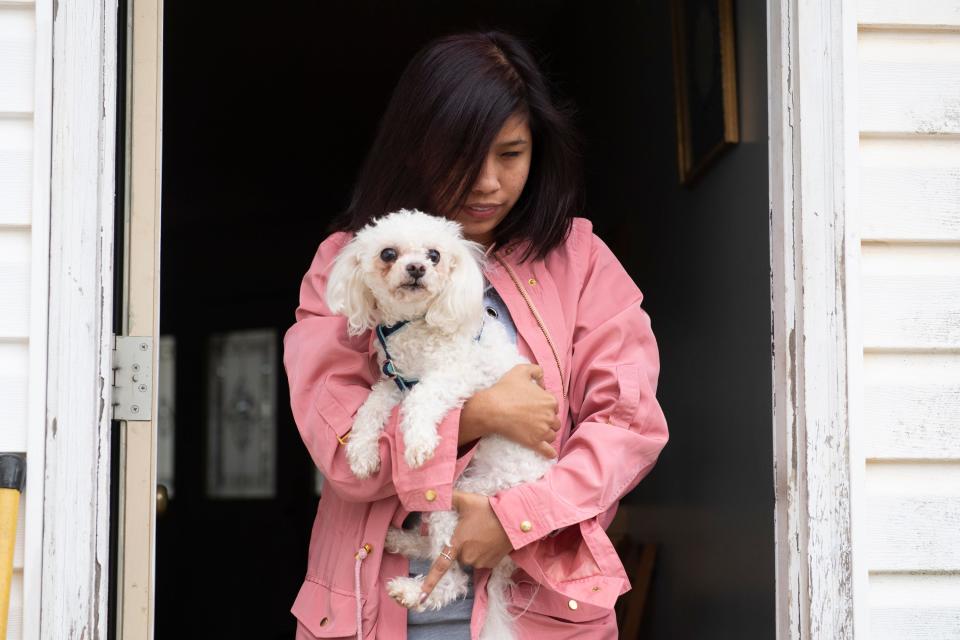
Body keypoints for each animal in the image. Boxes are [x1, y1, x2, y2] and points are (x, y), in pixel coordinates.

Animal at [328, 210, 556, 640]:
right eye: (388, 253)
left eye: (434, 255)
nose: (417, 268)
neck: (416, 325)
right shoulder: (395, 382)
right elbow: (371, 407)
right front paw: (362, 453)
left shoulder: (455, 374)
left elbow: (423, 398)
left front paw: (418, 442)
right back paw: (399, 541)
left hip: (460, 496)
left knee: (451, 576)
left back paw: (410, 591)